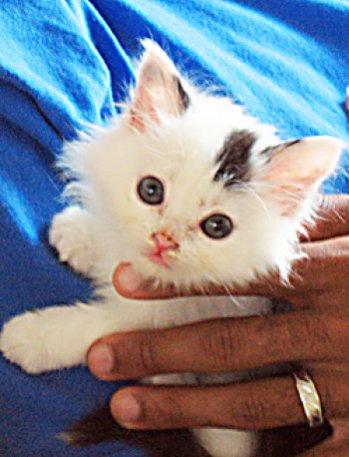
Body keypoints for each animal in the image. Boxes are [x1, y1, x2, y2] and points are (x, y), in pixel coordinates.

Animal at [0, 40, 342, 456]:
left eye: (217, 226)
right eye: (151, 190)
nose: (164, 240)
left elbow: (98, 326)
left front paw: (31, 338)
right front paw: (82, 233)